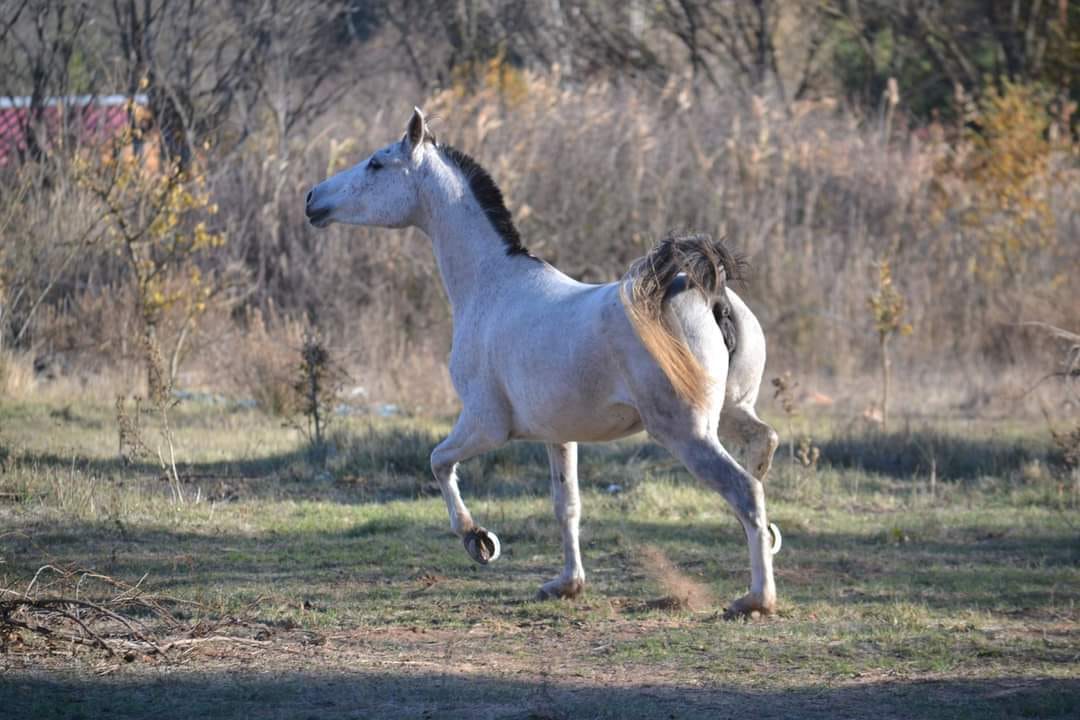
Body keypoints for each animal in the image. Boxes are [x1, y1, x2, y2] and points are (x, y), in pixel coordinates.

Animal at [308, 110, 781, 617]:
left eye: (376, 164)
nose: (312, 199)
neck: (492, 287)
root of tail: (709, 290)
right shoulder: (560, 435)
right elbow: (566, 505)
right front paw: (566, 585)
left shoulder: (485, 425)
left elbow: (438, 462)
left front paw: (478, 540)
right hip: (730, 412)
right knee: (763, 446)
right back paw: (769, 542)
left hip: (687, 432)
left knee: (744, 491)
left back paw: (755, 598)